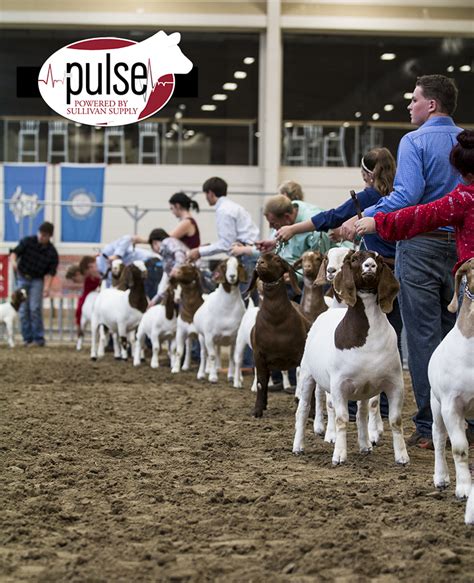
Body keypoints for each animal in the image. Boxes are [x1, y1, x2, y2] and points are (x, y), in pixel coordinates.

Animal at [248, 253, 312, 418]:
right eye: (260, 257)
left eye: (277, 260)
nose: (260, 263)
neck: (276, 321)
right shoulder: (259, 355)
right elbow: (260, 382)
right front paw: (257, 410)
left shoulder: (301, 355)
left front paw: (311, 412)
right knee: (264, 381)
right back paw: (264, 404)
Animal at [292, 251, 408, 466]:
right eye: (355, 259)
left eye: (379, 260)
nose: (369, 266)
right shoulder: (339, 385)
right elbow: (341, 419)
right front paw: (339, 455)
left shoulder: (395, 383)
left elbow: (395, 420)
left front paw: (402, 456)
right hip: (307, 375)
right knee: (303, 409)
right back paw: (298, 446)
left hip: (363, 389)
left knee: (362, 413)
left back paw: (365, 445)